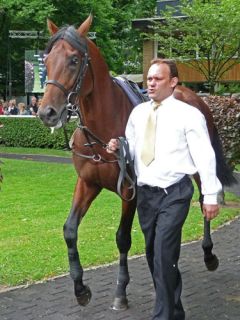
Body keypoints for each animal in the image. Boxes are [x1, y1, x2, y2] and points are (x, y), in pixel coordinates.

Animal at [38, 15, 235, 310]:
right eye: (47, 58)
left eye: (73, 59)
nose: (46, 112)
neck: (103, 127)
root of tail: (194, 96)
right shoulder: (87, 183)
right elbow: (70, 230)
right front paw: (80, 288)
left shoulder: (130, 190)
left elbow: (122, 238)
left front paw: (120, 291)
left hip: (200, 167)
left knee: (204, 200)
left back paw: (208, 253)